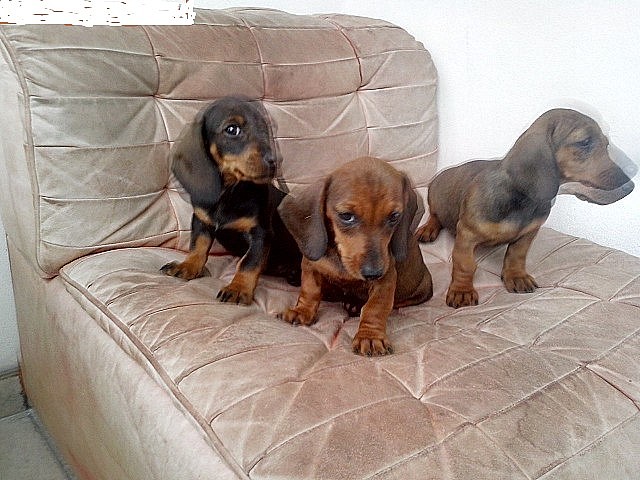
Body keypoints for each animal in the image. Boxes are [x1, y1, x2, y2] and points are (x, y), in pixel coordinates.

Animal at [161, 97, 301, 304]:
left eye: (264, 129)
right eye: (232, 129)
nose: (275, 161)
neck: (228, 193)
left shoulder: (261, 233)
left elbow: (248, 263)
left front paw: (238, 288)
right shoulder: (201, 221)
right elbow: (198, 246)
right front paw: (188, 266)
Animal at [278, 157, 433, 356]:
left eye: (394, 216)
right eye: (346, 216)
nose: (373, 273)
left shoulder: (386, 280)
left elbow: (375, 308)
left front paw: (370, 336)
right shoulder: (310, 265)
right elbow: (309, 291)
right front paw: (302, 311)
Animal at [417, 108, 634, 308]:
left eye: (606, 144)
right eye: (584, 142)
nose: (630, 184)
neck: (523, 202)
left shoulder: (528, 234)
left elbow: (517, 255)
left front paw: (516, 277)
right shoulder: (467, 235)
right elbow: (465, 264)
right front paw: (462, 291)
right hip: (435, 197)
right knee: (435, 216)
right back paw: (428, 229)